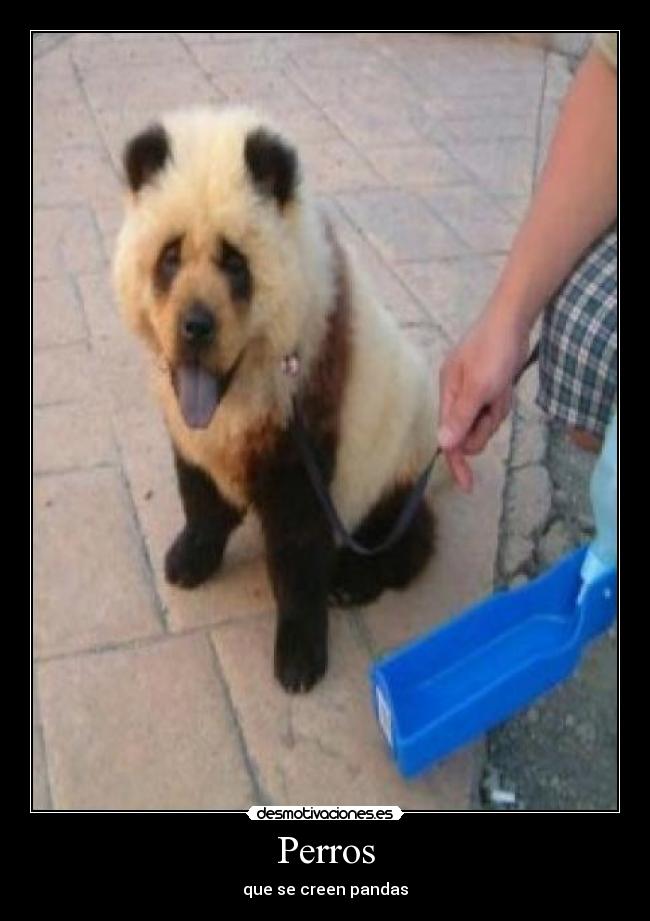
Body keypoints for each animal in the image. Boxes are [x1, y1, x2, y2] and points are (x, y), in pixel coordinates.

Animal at [113, 106, 437, 693]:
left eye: (234, 263)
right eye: (170, 257)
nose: (195, 326)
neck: (237, 391)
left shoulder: (307, 413)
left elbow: (297, 541)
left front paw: (299, 656)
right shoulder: (192, 433)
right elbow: (199, 492)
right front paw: (191, 556)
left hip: (395, 458)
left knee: (404, 533)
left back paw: (356, 578)